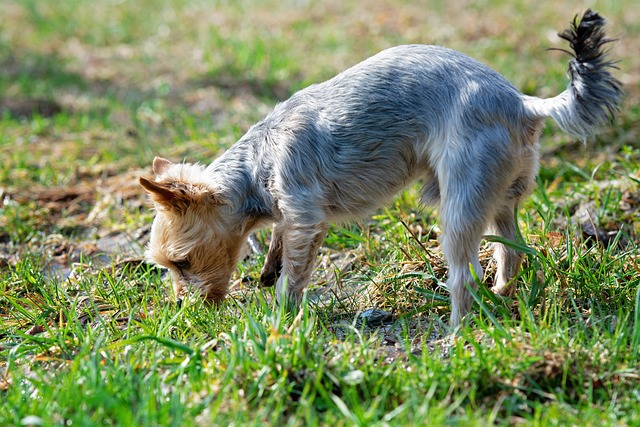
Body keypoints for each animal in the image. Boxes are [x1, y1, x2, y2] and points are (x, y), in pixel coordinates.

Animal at [139, 11, 620, 330]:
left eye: (181, 263)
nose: (182, 308)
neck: (258, 165)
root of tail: (524, 103)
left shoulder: (305, 217)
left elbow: (294, 276)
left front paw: (281, 317)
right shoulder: (289, 218)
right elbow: (278, 247)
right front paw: (268, 271)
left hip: (459, 198)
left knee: (464, 274)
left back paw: (457, 333)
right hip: (501, 195)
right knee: (512, 249)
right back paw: (501, 297)